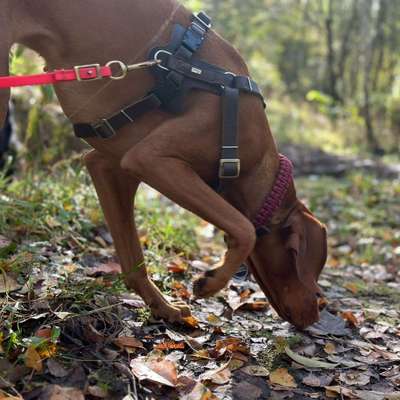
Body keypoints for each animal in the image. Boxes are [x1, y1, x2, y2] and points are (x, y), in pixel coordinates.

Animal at [0, 0, 326, 328]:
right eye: (306, 267)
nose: (316, 316)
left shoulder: (108, 167)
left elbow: (133, 261)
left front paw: (162, 307)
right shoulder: (151, 159)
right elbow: (244, 228)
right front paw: (210, 281)